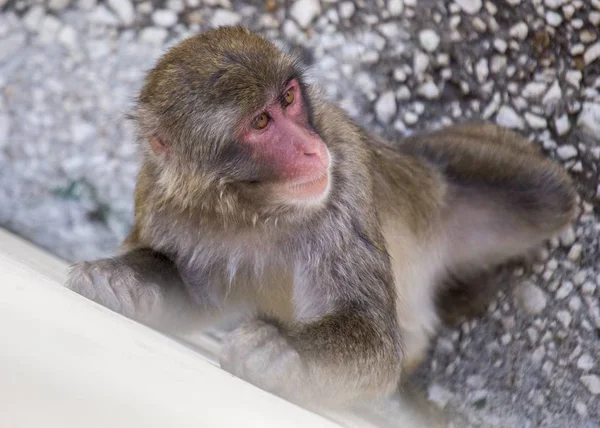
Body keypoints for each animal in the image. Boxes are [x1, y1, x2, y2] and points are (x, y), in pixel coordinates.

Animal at [64, 26, 576, 408]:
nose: (312, 149)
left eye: (289, 98)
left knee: (549, 193)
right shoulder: (160, 200)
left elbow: (373, 340)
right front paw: (121, 279)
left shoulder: (343, 184)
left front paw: (281, 350)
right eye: (261, 122)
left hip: (440, 179)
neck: (251, 206)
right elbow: (192, 299)